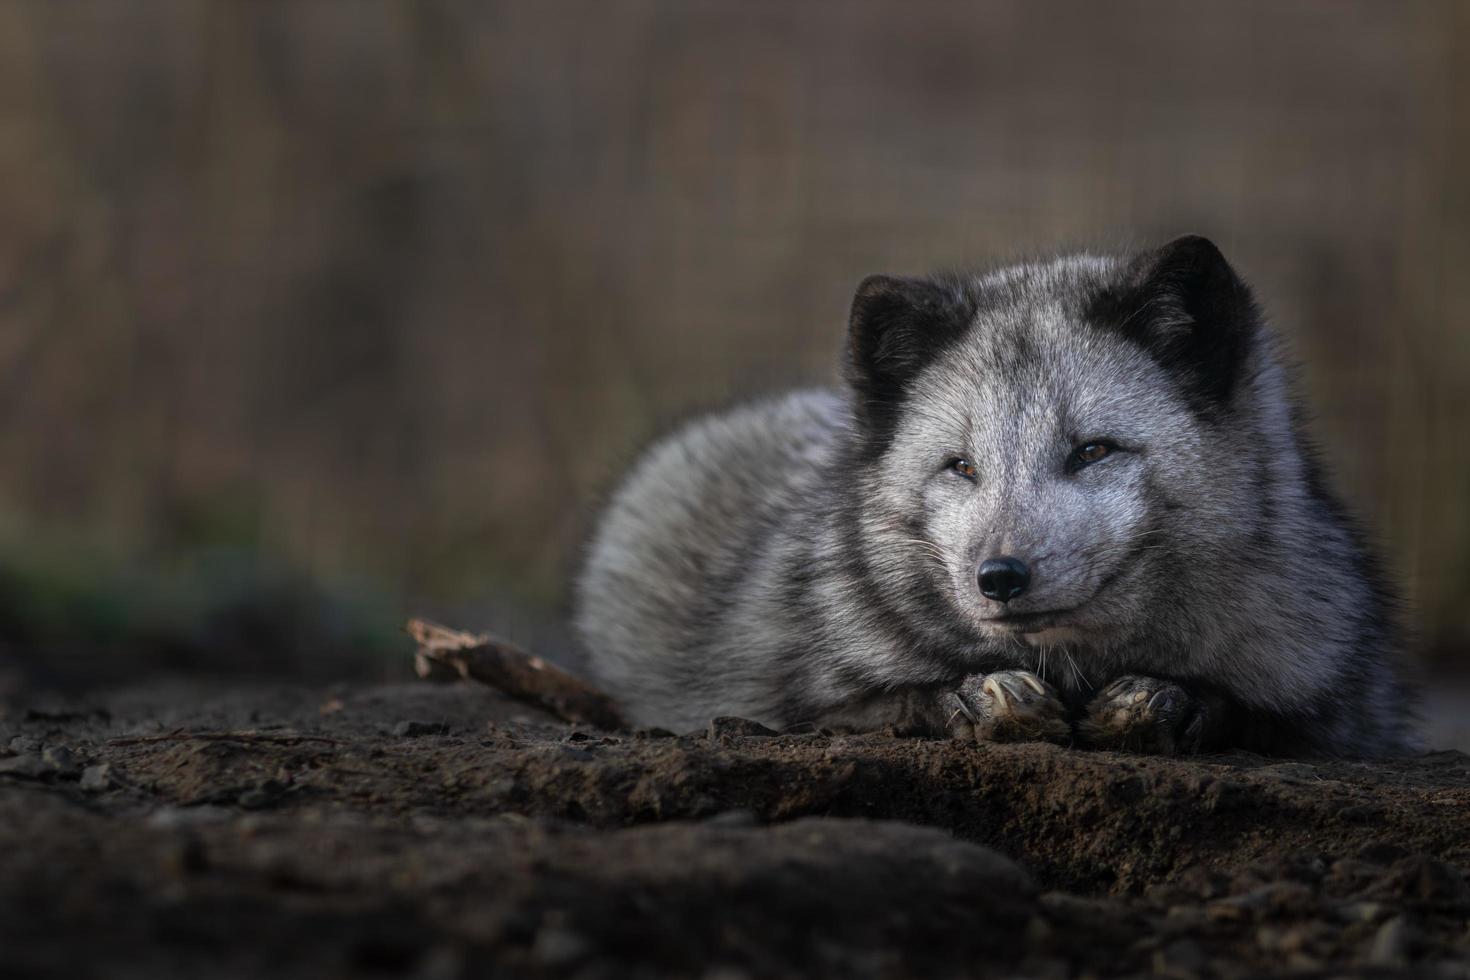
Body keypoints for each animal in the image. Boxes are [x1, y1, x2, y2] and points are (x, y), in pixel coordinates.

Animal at [573, 238, 1411, 758]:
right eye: (961, 467)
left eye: (1093, 451)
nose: (999, 577)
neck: (1071, 670)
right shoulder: (776, 707)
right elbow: (892, 702)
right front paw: (975, 698)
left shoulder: (1339, 714)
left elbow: (1249, 715)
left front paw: (1165, 701)